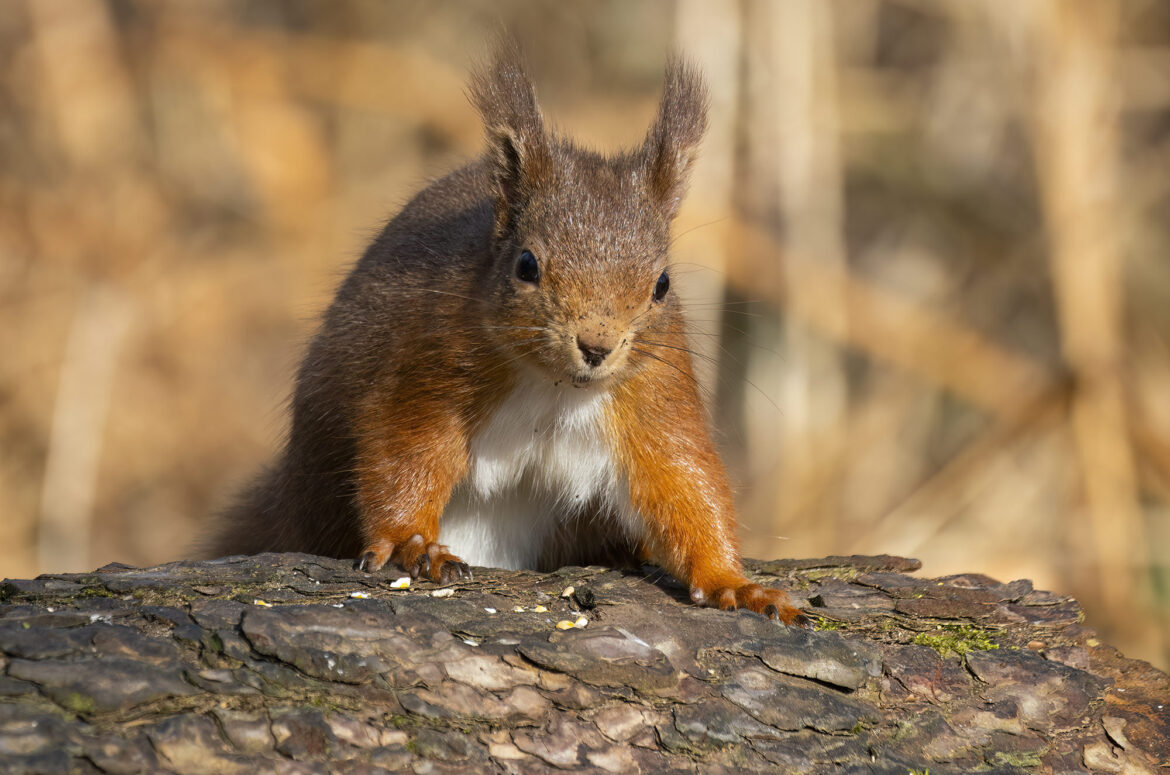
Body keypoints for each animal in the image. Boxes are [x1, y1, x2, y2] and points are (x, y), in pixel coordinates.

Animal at [209, 44, 808, 626]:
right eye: (526, 265)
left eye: (662, 284)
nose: (596, 345)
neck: (557, 388)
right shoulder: (431, 364)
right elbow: (402, 449)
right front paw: (411, 543)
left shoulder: (654, 393)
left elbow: (685, 481)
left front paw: (736, 583)